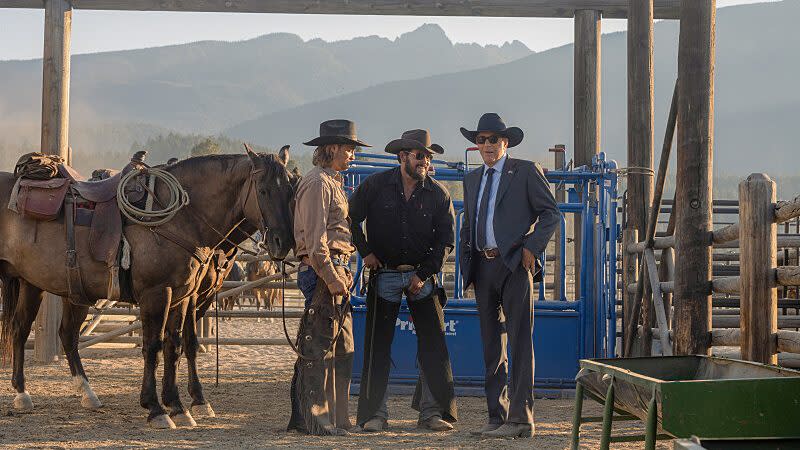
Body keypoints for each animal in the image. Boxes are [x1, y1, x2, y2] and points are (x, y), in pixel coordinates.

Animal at [0, 149, 294, 428]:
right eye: (264, 190)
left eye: (291, 189)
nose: (284, 242)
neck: (180, 219)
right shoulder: (157, 294)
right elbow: (154, 346)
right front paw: (156, 408)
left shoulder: (183, 296)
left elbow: (176, 345)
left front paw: (179, 406)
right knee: (30, 331)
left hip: (39, 284)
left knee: (40, 332)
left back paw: (61, 394)